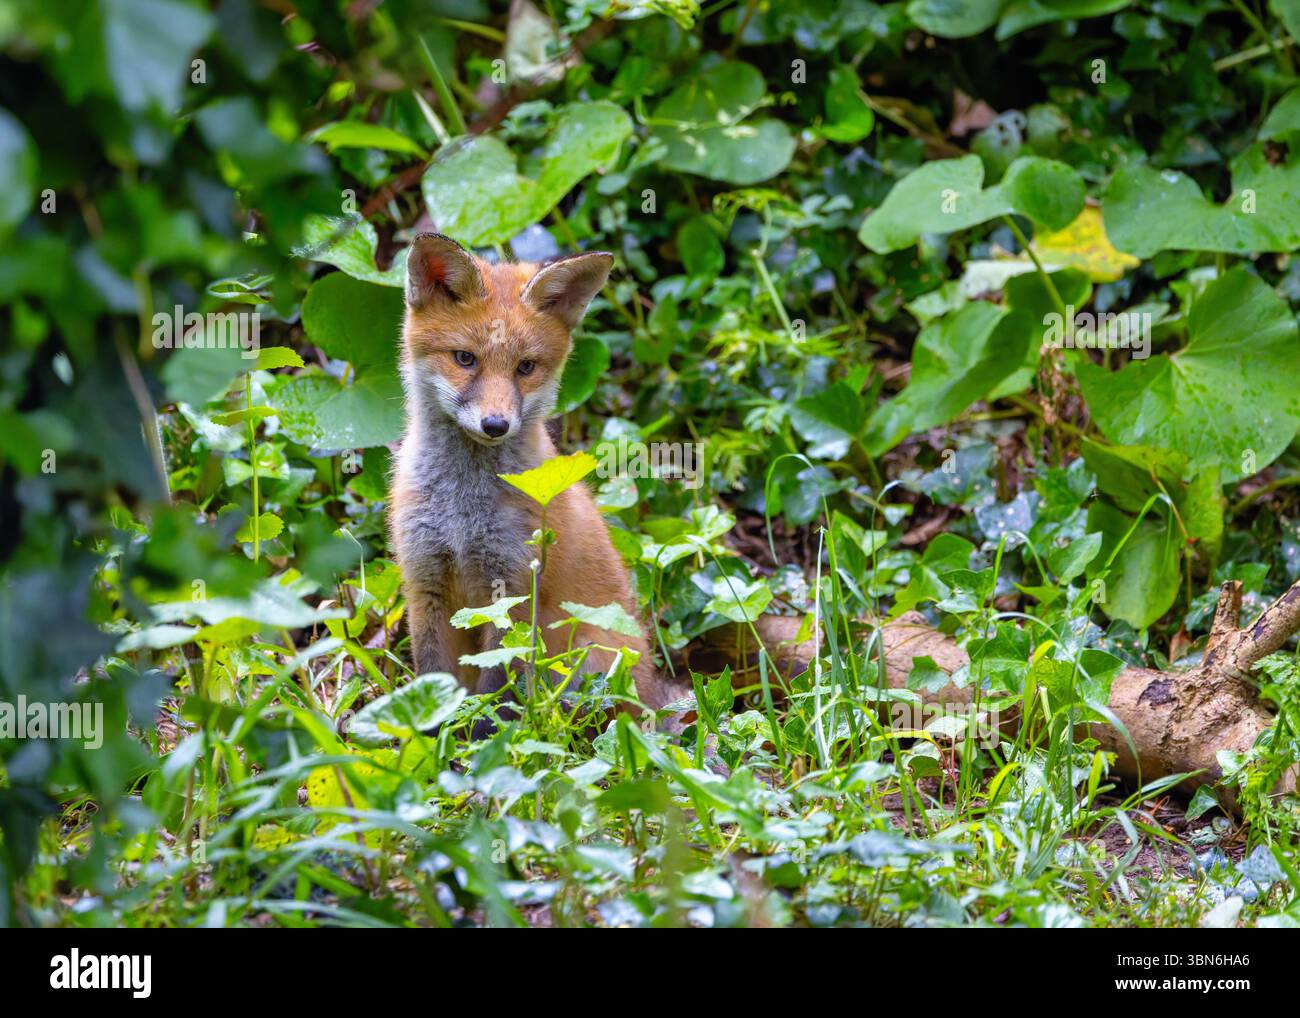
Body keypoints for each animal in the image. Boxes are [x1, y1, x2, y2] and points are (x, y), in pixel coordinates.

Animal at [388, 233, 684, 716]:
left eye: (525, 367)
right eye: (465, 359)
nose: (495, 425)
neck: (462, 513)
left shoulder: (512, 590)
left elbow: (497, 693)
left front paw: (484, 734)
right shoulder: (425, 583)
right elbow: (434, 680)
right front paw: (430, 732)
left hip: (591, 661)